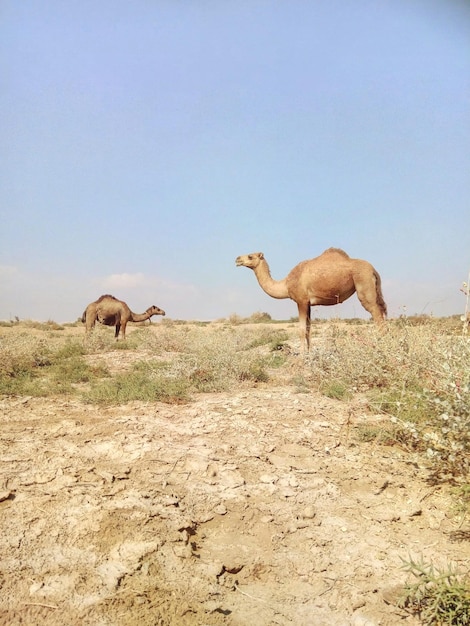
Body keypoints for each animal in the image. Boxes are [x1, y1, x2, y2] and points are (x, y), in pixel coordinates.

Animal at [235, 245, 386, 352]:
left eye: (250, 256)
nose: (237, 259)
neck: (286, 284)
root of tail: (373, 270)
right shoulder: (307, 303)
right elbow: (308, 329)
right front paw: (309, 354)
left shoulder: (301, 300)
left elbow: (302, 329)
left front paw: (301, 359)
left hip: (363, 283)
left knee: (376, 314)